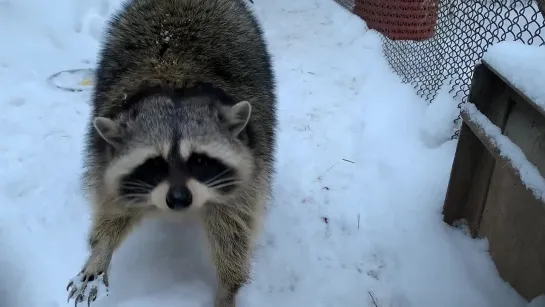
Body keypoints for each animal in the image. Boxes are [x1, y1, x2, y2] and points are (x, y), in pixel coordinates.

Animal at [66, 0, 276, 307]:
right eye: (155, 164)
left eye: (199, 160)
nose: (179, 200)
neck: (175, 86)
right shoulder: (103, 157)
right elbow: (111, 209)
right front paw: (100, 252)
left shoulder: (250, 170)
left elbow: (234, 228)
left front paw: (228, 286)